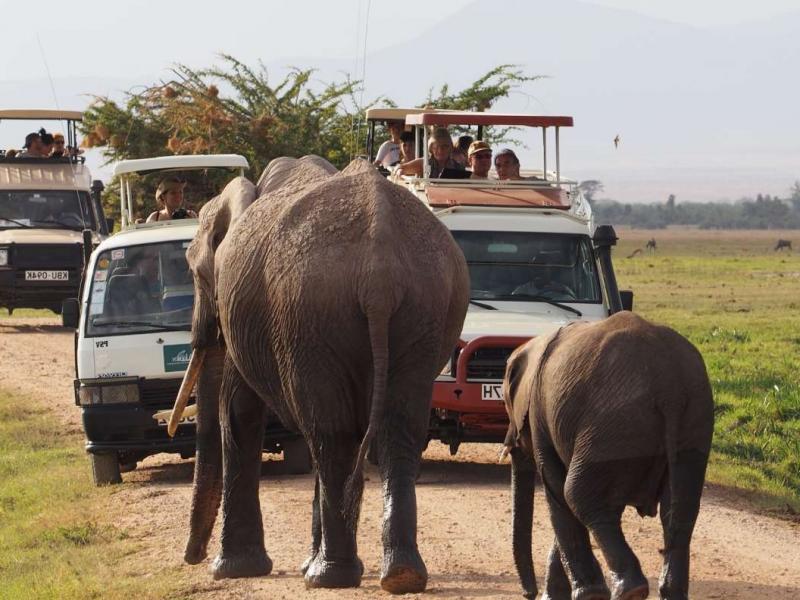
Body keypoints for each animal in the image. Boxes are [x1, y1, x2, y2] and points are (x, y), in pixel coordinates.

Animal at [169, 157, 468, 592]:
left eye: (196, 275)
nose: (192, 557)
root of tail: (379, 274)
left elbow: (238, 411)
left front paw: (230, 569)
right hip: (423, 308)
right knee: (397, 430)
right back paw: (400, 576)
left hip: (310, 314)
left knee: (331, 434)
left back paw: (329, 577)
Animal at [504, 312, 716, 596]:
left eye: (506, 403)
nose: (530, 593)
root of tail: (668, 389)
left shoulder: (542, 417)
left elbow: (557, 494)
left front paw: (581, 595)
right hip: (693, 418)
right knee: (679, 509)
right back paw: (669, 592)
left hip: (613, 425)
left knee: (576, 495)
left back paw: (630, 591)